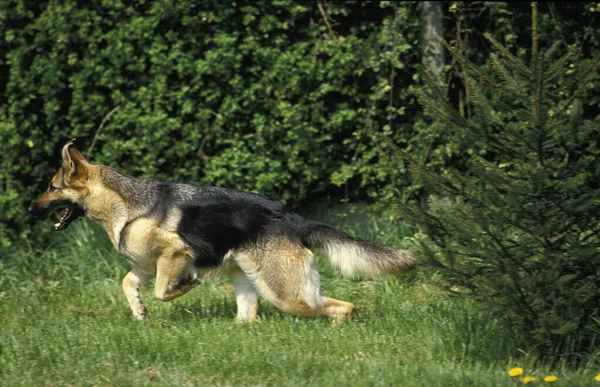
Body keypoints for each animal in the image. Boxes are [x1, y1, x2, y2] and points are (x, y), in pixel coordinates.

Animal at [27, 141, 412, 322]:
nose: (30, 209)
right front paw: (139, 311)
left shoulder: (174, 253)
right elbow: (128, 283)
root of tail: (295, 220)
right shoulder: (144, 266)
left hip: (286, 295)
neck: (123, 205)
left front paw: (182, 287)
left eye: (51, 187)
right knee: (248, 317)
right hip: (248, 282)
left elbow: (163, 291)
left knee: (343, 307)